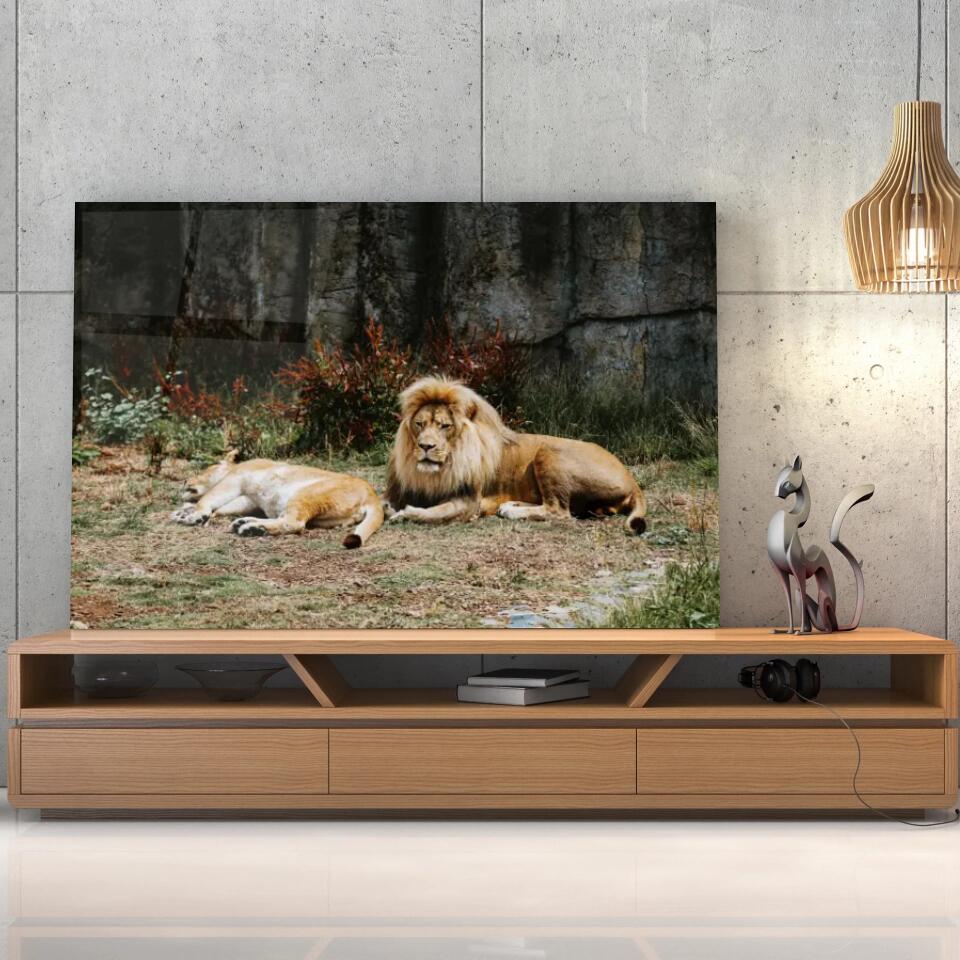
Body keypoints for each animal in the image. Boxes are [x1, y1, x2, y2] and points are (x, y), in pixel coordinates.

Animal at [170, 450, 384, 548]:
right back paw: (245, 523)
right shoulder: (248, 498)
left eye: (205, 469)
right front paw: (182, 512)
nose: (185, 480)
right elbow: (221, 508)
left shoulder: (235, 480)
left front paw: (194, 515)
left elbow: (207, 499)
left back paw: (251, 528)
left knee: (294, 523)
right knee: (283, 520)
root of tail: (372, 495)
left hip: (306, 494)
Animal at [385, 378, 647, 533]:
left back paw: (512, 510)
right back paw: (510, 504)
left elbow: (433, 513)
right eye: (419, 424)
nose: (425, 446)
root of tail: (632, 481)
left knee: (559, 511)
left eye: (444, 426)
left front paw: (403, 514)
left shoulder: (470, 501)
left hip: (548, 452)